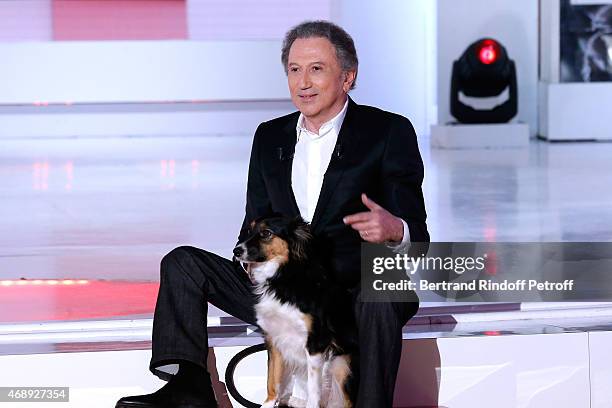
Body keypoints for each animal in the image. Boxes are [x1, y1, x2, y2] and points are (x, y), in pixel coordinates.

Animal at [233, 215, 358, 406]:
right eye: (249, 230)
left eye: (266, 233)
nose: (236, 251)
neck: (283, 279)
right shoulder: (274, 339)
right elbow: (272, 379)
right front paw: (268, 403)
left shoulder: (316, 342)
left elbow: (314, 389)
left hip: (341, 365)